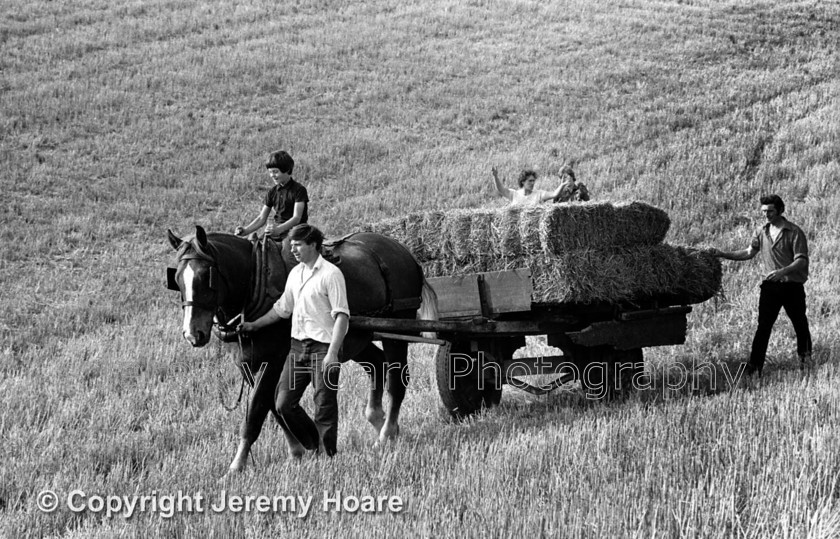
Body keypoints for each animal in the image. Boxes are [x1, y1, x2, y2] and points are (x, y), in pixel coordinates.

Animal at [165, 225, 440, 472]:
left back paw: (386, 434)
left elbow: (257, 410)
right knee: (377, 364)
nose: (192, 334)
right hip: (356, 337)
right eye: (177, 279)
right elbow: (273, 407)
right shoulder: (246, 362)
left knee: (397, 380)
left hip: (398, 329)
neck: (256, 280)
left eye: (206, 276)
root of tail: (402, 251)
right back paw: (378, 419)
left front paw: (237, 464)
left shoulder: (274, 359)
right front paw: (298, 449)